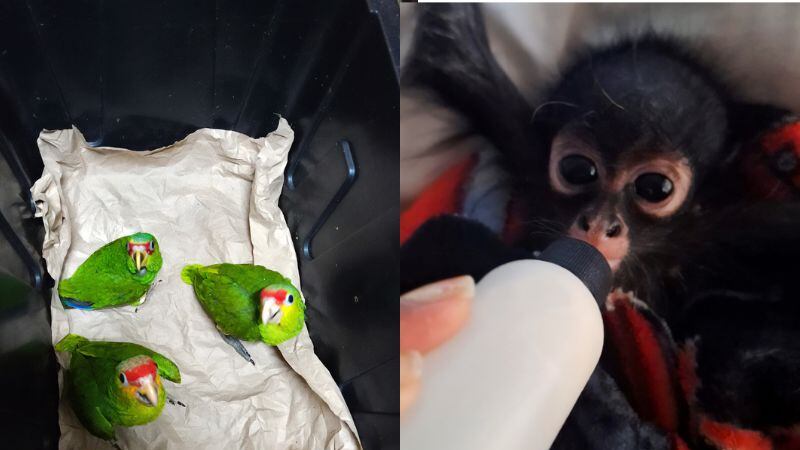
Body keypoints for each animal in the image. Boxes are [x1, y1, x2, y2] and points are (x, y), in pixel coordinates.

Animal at [401, 4, 800, 448]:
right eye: (579, 170)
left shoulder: (723, 233)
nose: (599, 224)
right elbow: (451, 55)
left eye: (654, 188)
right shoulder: (524, 146)